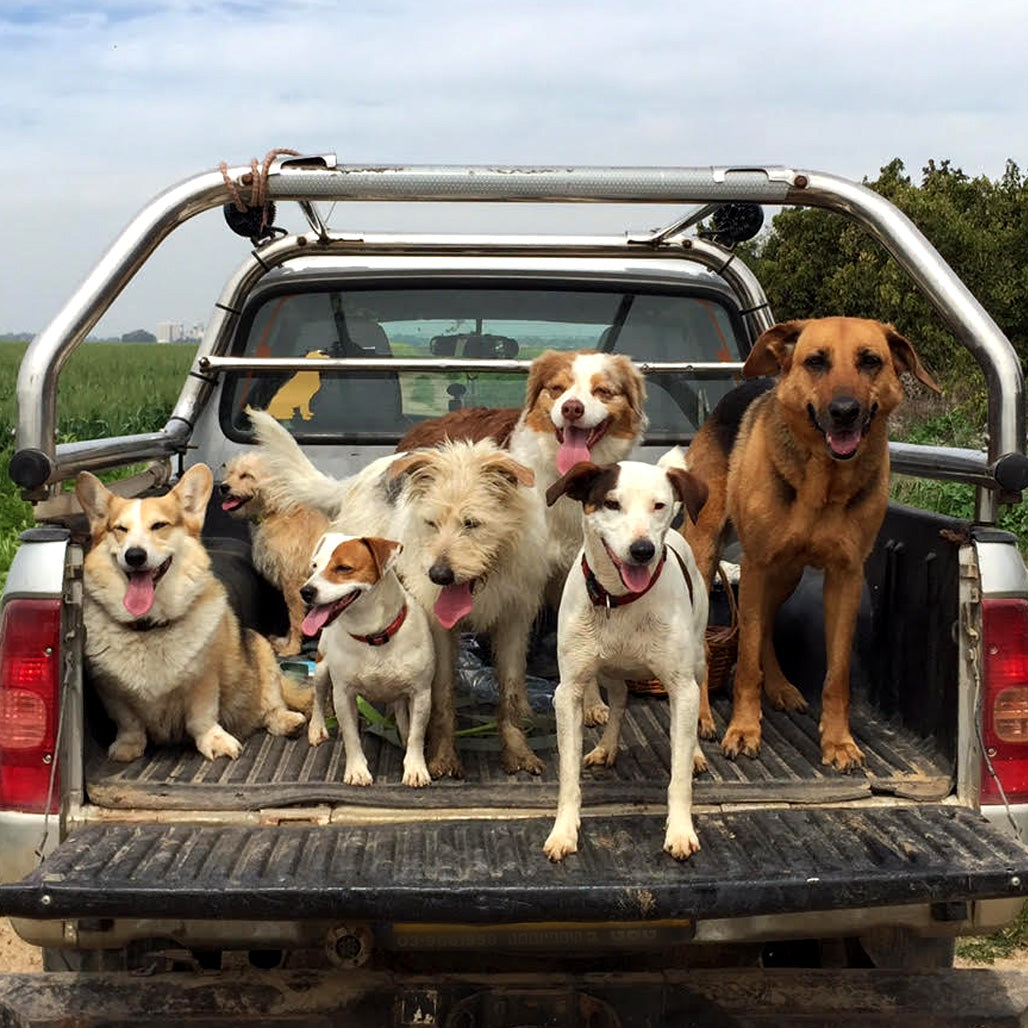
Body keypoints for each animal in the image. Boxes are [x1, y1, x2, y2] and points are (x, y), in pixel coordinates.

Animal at [216, 454, 324, 653]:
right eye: (230, 472)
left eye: (247, 475)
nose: (223, 487)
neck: (277, 510)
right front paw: (287, 641)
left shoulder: (293, 582)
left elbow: (296, 618)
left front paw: (292, 648)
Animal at [304, 530, 433, 785]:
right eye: (314, 566)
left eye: (344, 568)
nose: (305, 591)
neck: (372, 635)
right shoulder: (343, 695)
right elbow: (351, 736)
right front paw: (357, 769)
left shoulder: (422, 693)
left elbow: (416, 735)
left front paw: (415, 767)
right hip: (322, 669)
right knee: (318, 697)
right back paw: (317, 727)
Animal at [546, 462, 707, 863]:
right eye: (611, 503)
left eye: (659, 505)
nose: (642, 550)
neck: (619, 599)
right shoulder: (569, 692)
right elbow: (568, 774)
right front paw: (563, 830)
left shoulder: (681, 687)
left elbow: (679, 774)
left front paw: (681, 830)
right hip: (610, 670)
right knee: (618, 703)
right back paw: (607, 746)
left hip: (697, 660)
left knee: (699, 702)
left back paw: (697, 752)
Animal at [682, 316, 941, 768]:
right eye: (816, 361)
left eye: (870, 361)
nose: (844, 413)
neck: (824, 481)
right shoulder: (756, 565)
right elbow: (745, 664)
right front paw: (744, 731)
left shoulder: (845, 578)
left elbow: (836, 675)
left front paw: (838, 741)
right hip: (707, 552)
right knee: (717, 642)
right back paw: (703, 715)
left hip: (785, 573)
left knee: (765, 628)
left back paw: (780, 687)